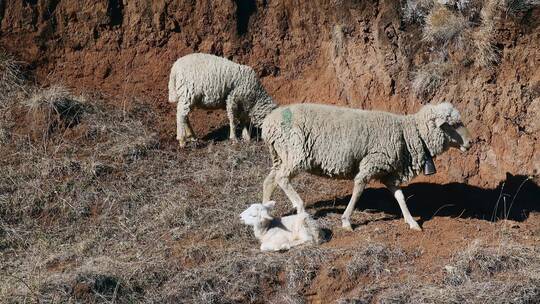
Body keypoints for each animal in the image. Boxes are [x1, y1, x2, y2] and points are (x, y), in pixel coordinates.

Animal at [260, 102, 470, 230]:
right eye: (453, 124)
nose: (470, 143)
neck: (408, 134)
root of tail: (268, 123)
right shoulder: (371, 163)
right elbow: (358, 190)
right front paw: (346, 221)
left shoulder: (388, 172)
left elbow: (400, 197)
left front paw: (412, 222)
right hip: (295, 153)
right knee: (282, 179)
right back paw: (300, 207)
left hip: (281, 155)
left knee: (269, 180)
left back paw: (264, 214)